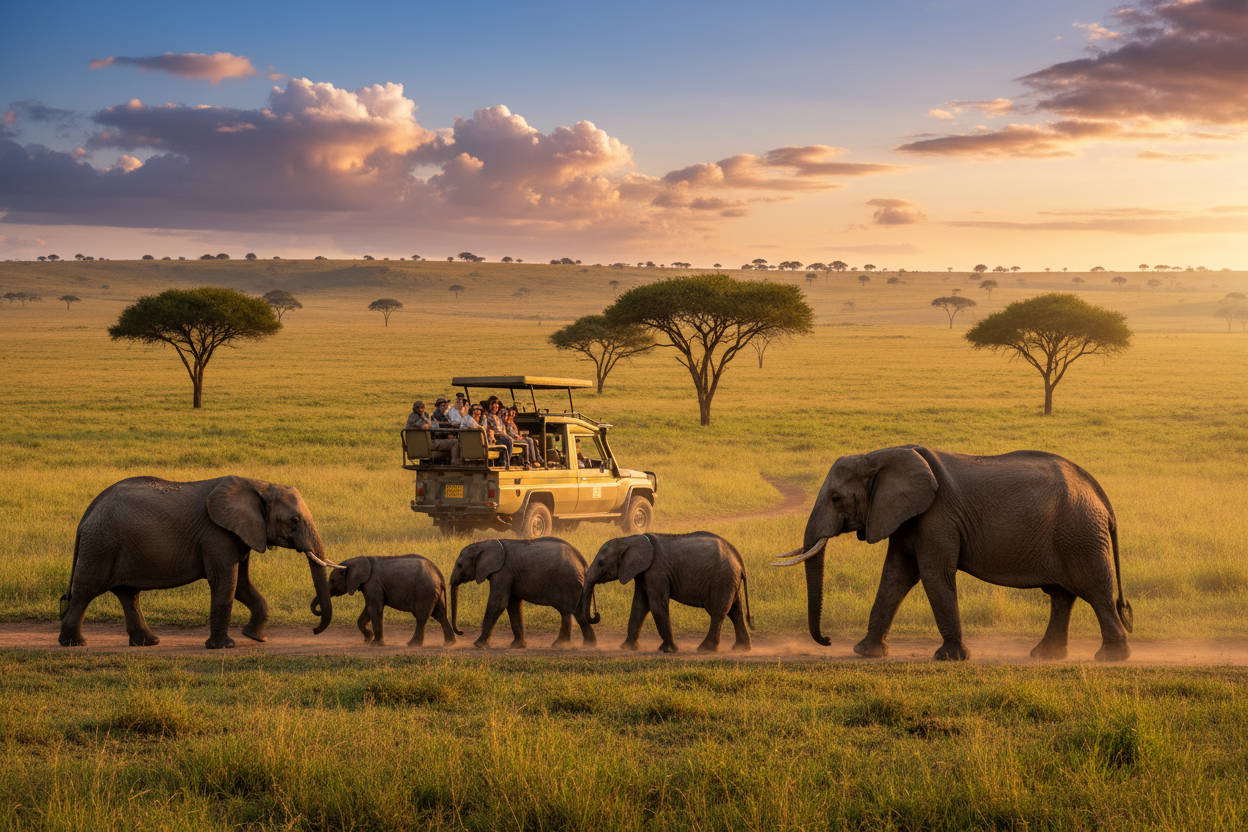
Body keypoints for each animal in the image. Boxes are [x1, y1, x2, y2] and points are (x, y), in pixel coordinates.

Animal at [58, 475, 340, 649]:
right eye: (295, 521)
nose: (314, 629)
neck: (260, 483)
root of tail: (86, 515)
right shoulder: (217, 534)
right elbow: (226, 582)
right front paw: (224, 647)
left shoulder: (242, 533)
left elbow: (242, 585)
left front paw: (254, 638)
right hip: (101, 545)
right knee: (86, 591)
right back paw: (74, 643)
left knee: (128, 594)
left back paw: (149, 642)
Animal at [323, 554, 458, 647]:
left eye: (332, 581)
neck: (354, 560)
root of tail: (438, 573)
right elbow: (368, 608)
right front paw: (368, 639)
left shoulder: (373, 582)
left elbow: (374, 608)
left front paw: (375, 644)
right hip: (434, 592)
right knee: (440, 615)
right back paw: (449, 644)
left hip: (424, 591)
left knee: (421, 616)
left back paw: (412, 644)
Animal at [450, 537, 597, 649]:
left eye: (459, 565)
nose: (461, 632)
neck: (484, 544)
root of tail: (584, 564)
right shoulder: (510, 575)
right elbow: (513, 605)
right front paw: (518, 646)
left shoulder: (503, 572)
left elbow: (498, 603)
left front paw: (478, 645)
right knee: (578, 612)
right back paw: (587, 646)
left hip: (567, 582)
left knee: (567, 612)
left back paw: (559, 645)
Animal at [581, 532, 754, 653]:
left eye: (601, 563)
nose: (596, 614)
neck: (630, 539)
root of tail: (739, 559)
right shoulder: (643, 573)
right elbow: (639, 606)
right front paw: (626, 648)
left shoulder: (656, 571)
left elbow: (656, 605)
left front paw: (668, 650)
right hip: (730, 580)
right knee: (735, 611)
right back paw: (741, 649)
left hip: (722, 579)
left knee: (718, 612)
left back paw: (704, 649)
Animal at [773, 446, 1133, 662]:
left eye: (836, 499)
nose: (828, 640)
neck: (880, 455)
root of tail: (1099, 493)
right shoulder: (905, 517)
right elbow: (895, 576)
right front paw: (866, 653)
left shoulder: (937, 517)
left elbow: (934, 575)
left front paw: (950, 658)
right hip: (1074, 533)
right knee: (1062, 595)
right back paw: (1044, 656)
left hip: (1081, 534)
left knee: (1095, 592)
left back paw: (1110, 658)